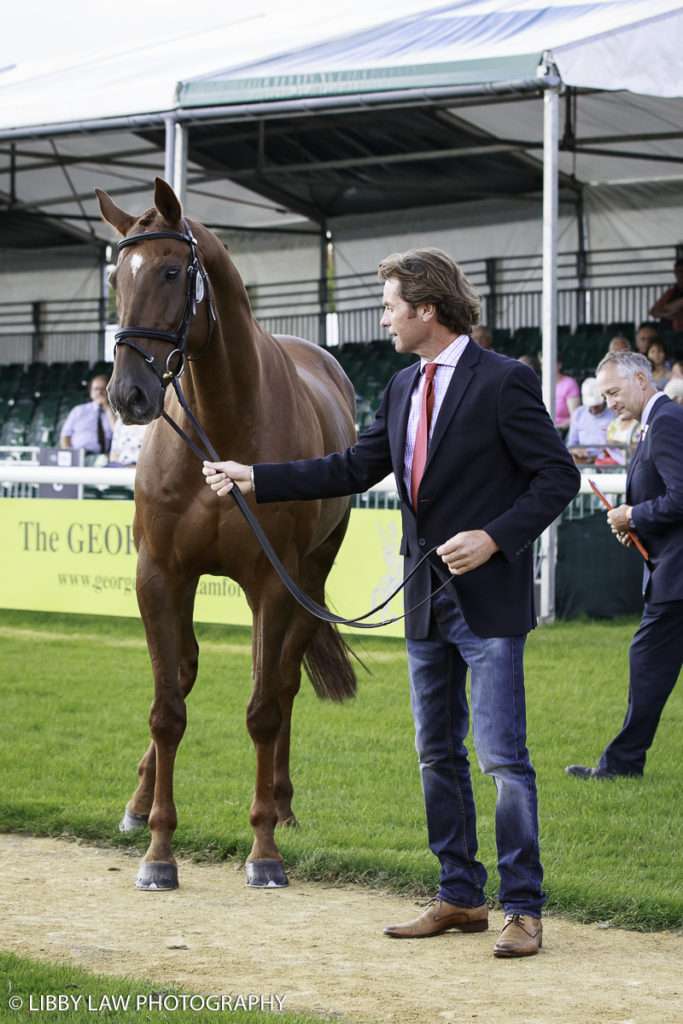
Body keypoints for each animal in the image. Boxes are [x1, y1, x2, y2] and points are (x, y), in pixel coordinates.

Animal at [98, 180, 360, 892]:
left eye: (170, 271)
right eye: (116, 277)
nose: (128, 395)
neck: (220, 426)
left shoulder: (273, 580)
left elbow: (264, 708)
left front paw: (264, 849)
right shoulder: (160, 574)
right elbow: (168, 705)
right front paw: (158, 852)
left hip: (307, 580)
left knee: (282, 682)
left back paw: (283, 803)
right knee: (189, 674)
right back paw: (138, 803)